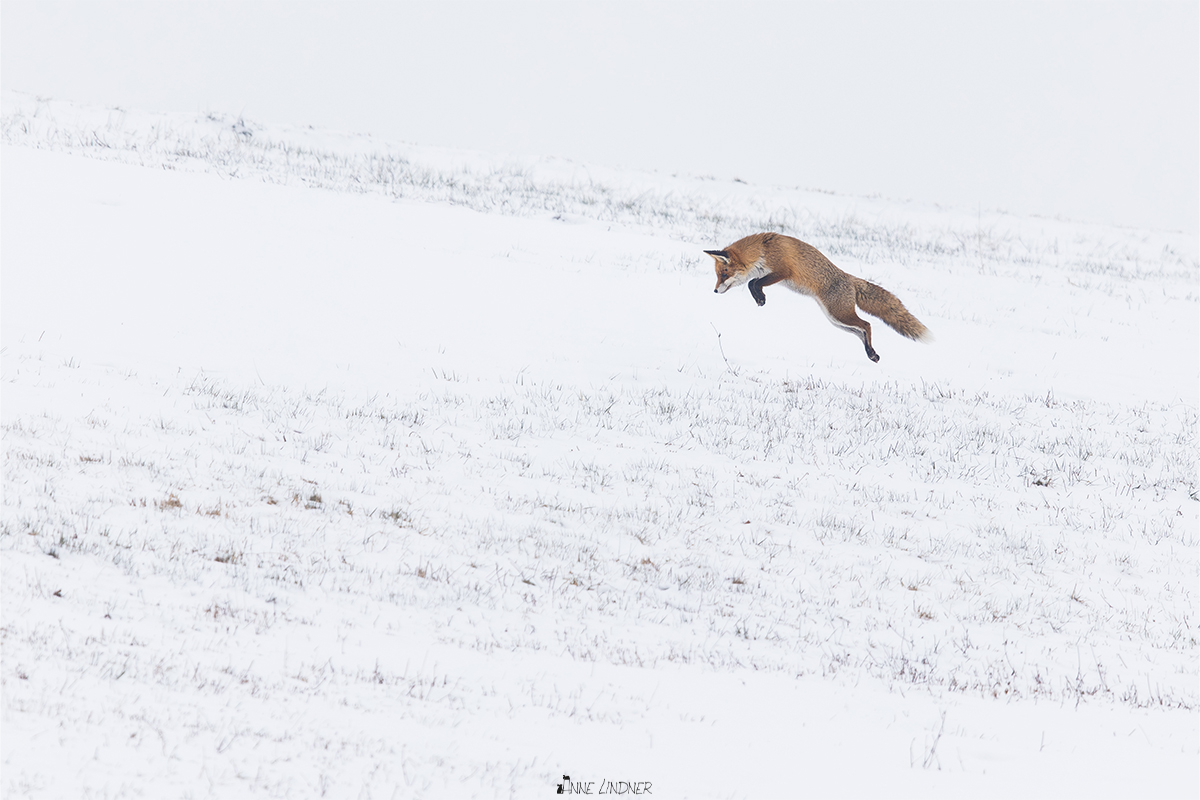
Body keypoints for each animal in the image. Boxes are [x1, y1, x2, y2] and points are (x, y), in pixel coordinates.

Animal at [707, 232, 930, 362]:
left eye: (724, 274)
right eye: (717, 275)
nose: (715, 291)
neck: (763, 249)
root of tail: (850, 279)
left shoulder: (782, 271)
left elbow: (753, 283)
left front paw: (760, 298)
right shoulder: (768, 273)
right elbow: (753, 282)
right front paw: (759, 298)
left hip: (839, 314)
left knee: (866, 324)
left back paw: (871, 352)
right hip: (836, 320)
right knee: (861, 331)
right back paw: (871, 353)